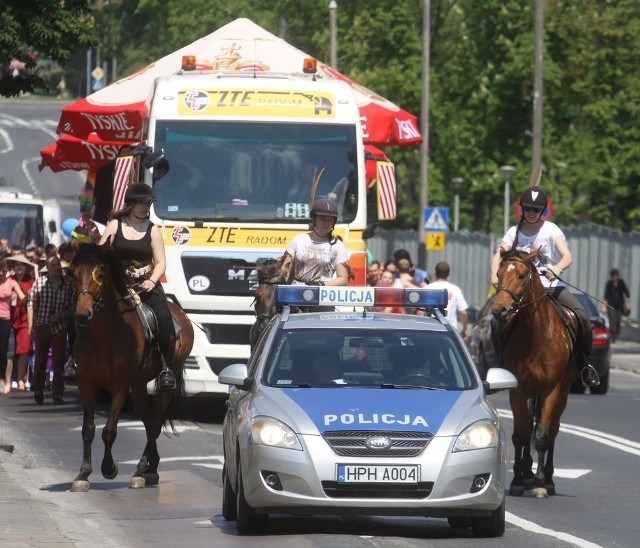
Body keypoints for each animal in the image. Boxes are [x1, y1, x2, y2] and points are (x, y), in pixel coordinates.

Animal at [69, 244, 194, 492]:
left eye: (101, 274)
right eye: (74, 274)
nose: (82, 315)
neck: (103, 336)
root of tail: (182, 315)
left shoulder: (120, 386)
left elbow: (109, 430)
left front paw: (109, 468)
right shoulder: (86, 383)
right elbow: (88, 429)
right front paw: (83, 474)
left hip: (166, 380)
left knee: (155, 423)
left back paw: (144, 472)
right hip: (138, 384)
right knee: (148, 420)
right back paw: (148, 468)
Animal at [492, 250, 584, 498]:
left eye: (522, 275)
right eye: (499, 273)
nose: (499, 310)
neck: (537, 334)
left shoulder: (552, 389)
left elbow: (542, 435)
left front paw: (540, 483)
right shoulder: (519, 390)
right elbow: (521, 434)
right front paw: (518, 479)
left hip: (561, 393)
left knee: (552, 430)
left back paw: (548, 479)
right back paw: (526, 474)